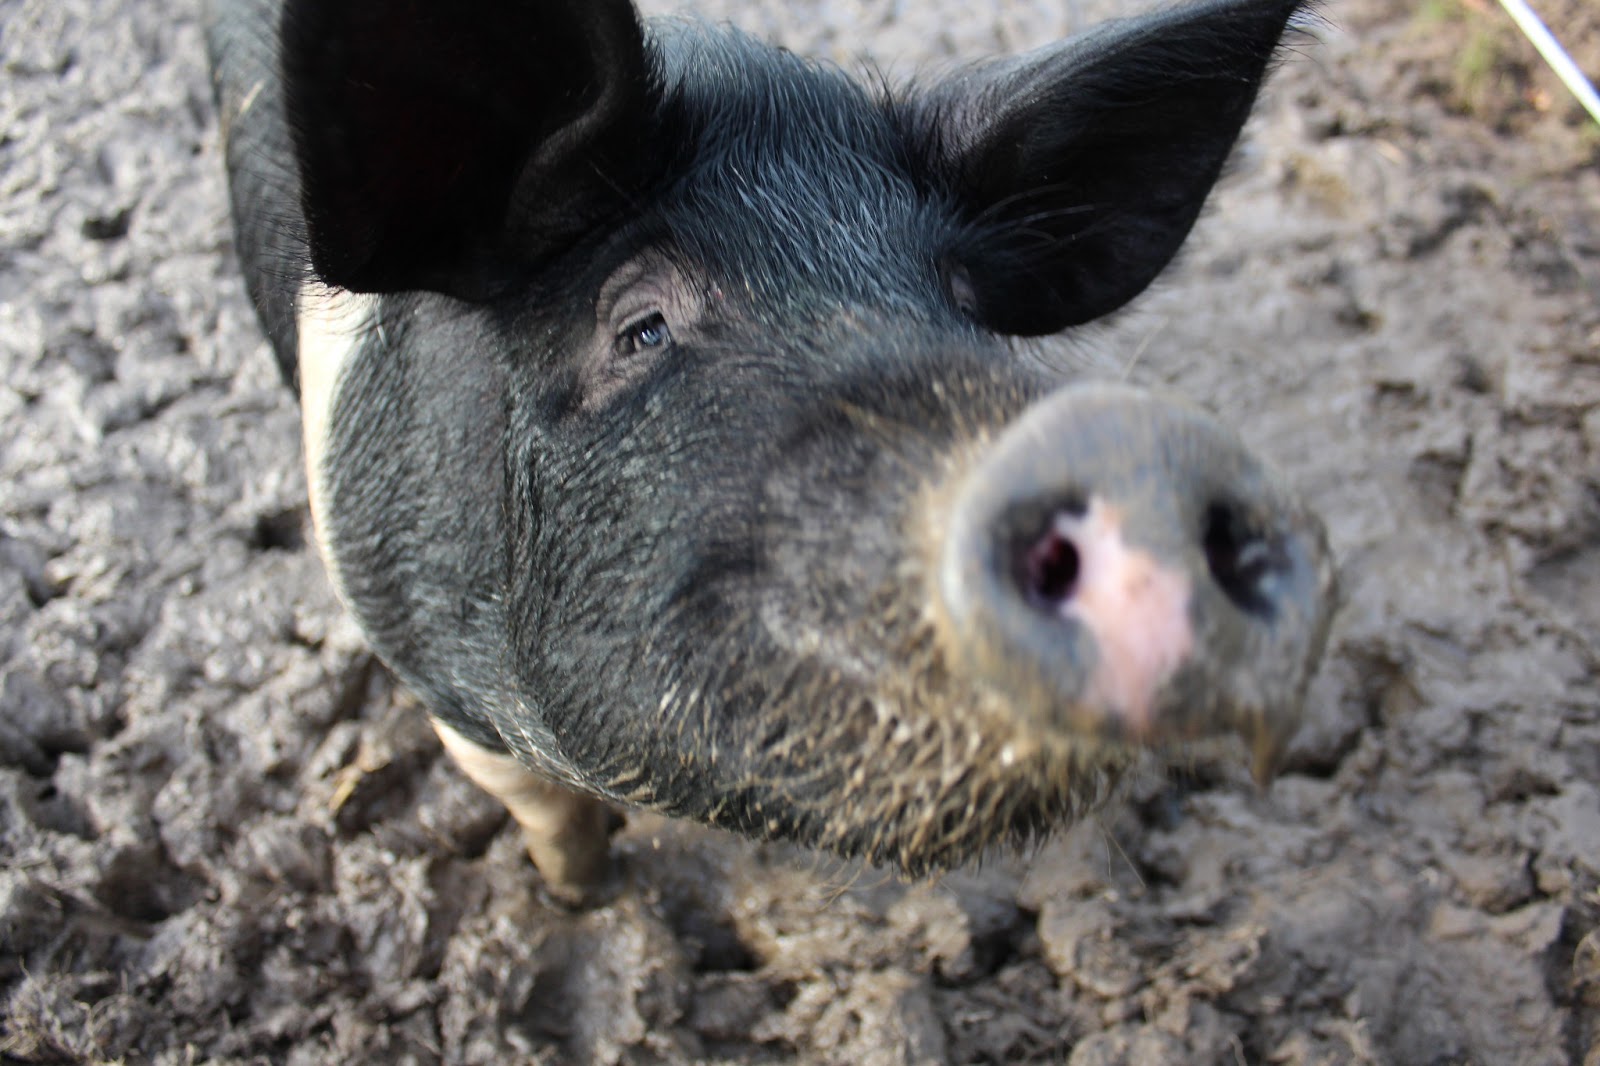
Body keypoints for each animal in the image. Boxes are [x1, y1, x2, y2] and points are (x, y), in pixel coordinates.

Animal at [206, 0, 1336, 905]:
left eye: (965, 304)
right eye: (641, 325)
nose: (1144, 446)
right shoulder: (432, 673)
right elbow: (548, 816)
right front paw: (583, 900)